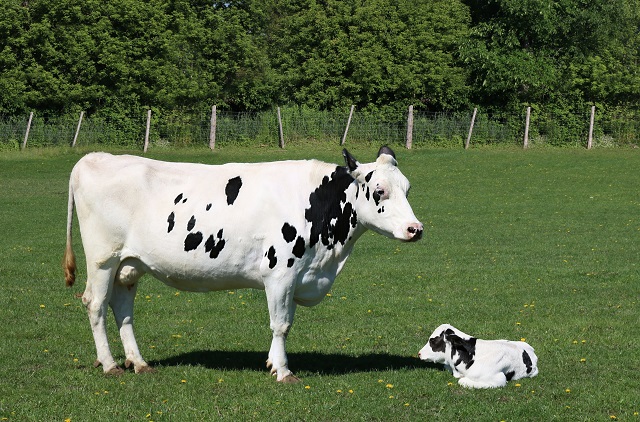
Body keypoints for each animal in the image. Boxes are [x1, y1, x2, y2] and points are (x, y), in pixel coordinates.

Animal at [63, 148, 424, 382]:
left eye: (407, 188)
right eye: (380, 190)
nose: (415, 229)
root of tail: (94, 157)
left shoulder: (297, 276)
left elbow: (286, 322)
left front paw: (273, 363)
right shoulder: (280, 272)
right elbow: (281, 325)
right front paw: (283, 371)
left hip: (129, 265)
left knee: (122, 309)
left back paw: (137, 362)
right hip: (103, 259)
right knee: (95, 304)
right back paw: (109, 364)